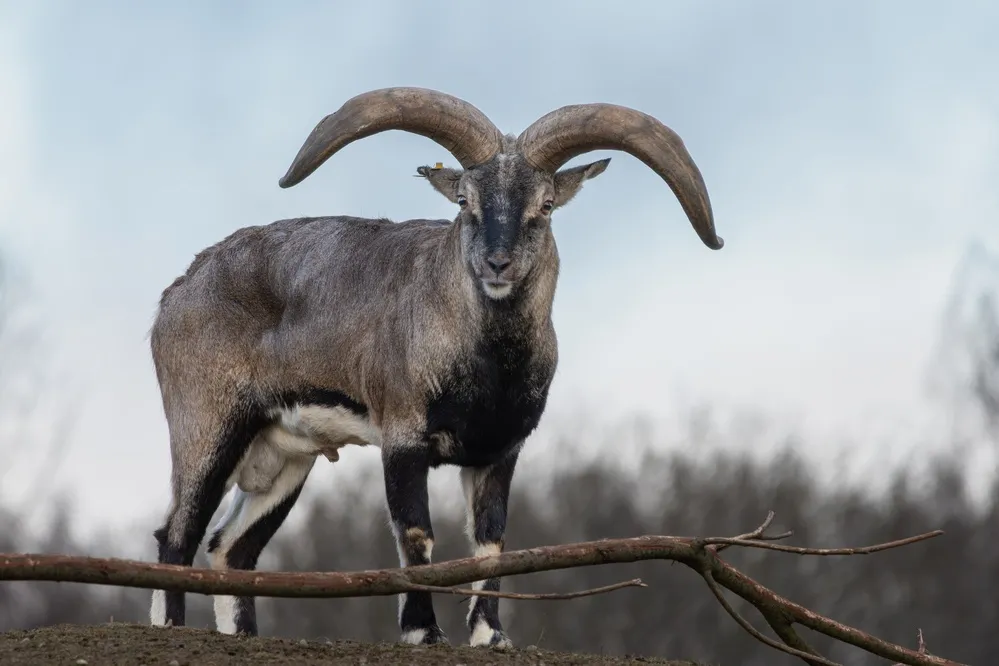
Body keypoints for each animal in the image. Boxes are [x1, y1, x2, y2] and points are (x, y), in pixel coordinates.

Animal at [147, 87, 723, 648]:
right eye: (465, 200)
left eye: (546, 203)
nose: (497, 264)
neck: (487, 370)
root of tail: (178, 292)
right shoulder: (404, 437)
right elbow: (416, 533)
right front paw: (423, 630)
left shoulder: (499, 451)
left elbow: (491, 540)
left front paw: (491, 635)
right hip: (208, 427)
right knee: (177, 533)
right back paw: (171, 627)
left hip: (285, 455)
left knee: (231, 547)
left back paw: (242, 633)